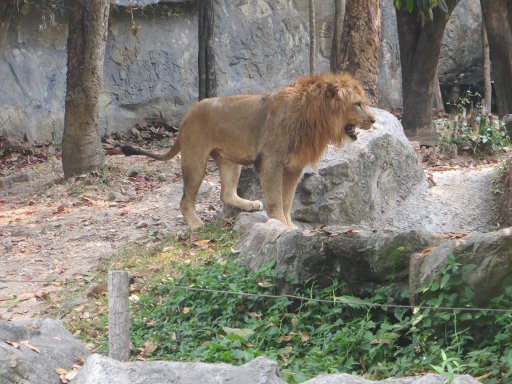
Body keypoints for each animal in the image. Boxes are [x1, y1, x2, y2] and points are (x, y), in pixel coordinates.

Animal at [120, 71, 376, 228]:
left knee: (226, 193)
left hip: (229, 161)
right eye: (358, 104)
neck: (315, 120)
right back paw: (196, 224)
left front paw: (290, 226)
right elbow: (275, 199)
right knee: (185, 199)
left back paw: (250, 204)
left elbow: (288, 200)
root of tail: (187, 115)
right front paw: (279, 224)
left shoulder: (294, 167)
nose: (373, 120)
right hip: (195, 159)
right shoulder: (271, 161)